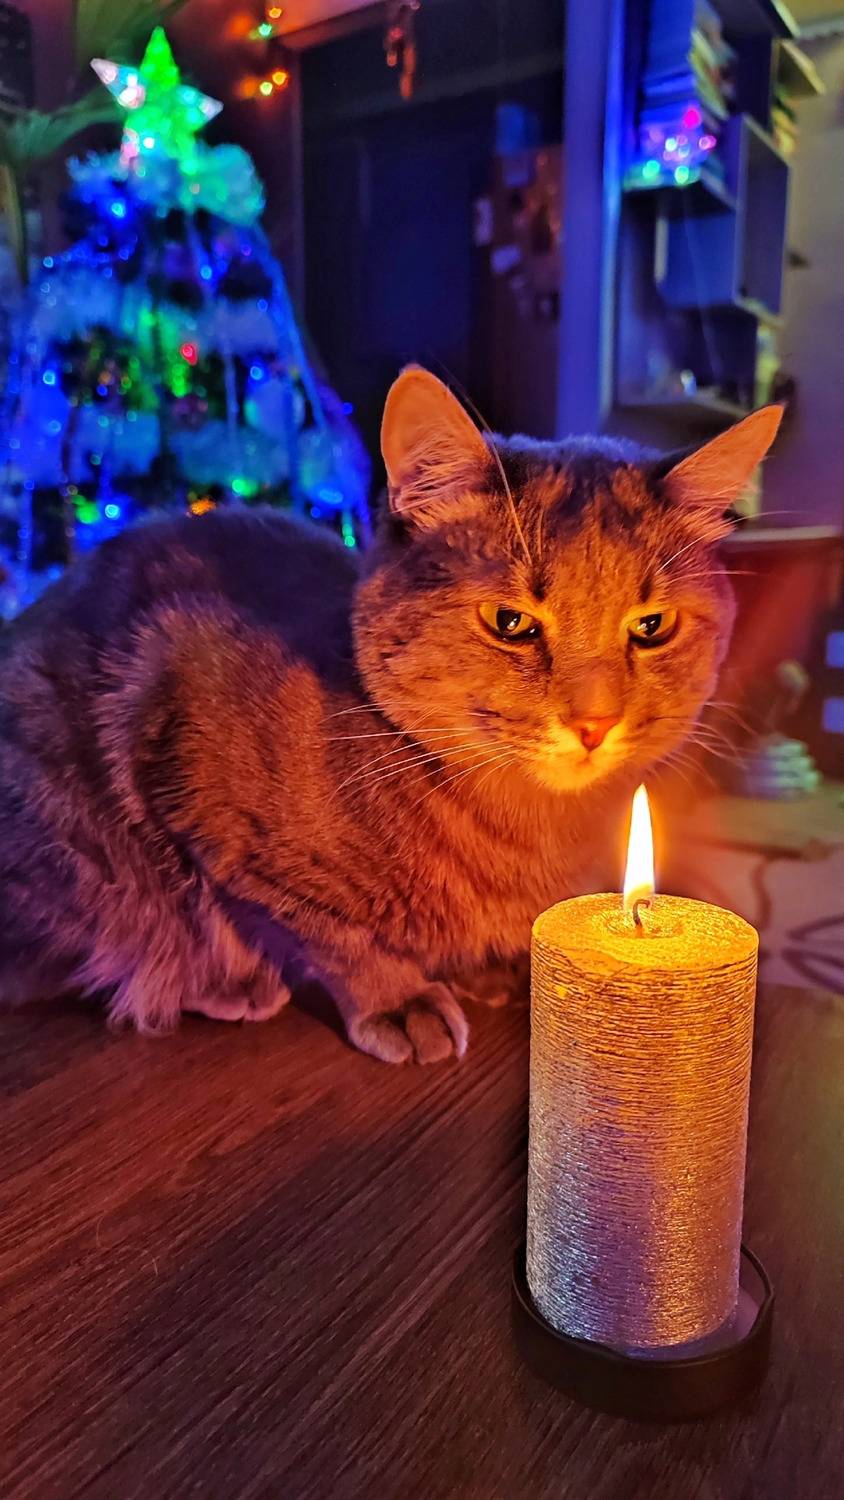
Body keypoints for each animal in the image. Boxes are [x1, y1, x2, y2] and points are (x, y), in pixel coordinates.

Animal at [0, 368, 780, 1063]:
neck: (523, 836)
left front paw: (482, 967)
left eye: (652, 626)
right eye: (511, 622)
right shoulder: (187, 745)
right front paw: (399, 997)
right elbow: (325, 931)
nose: (595, 724)